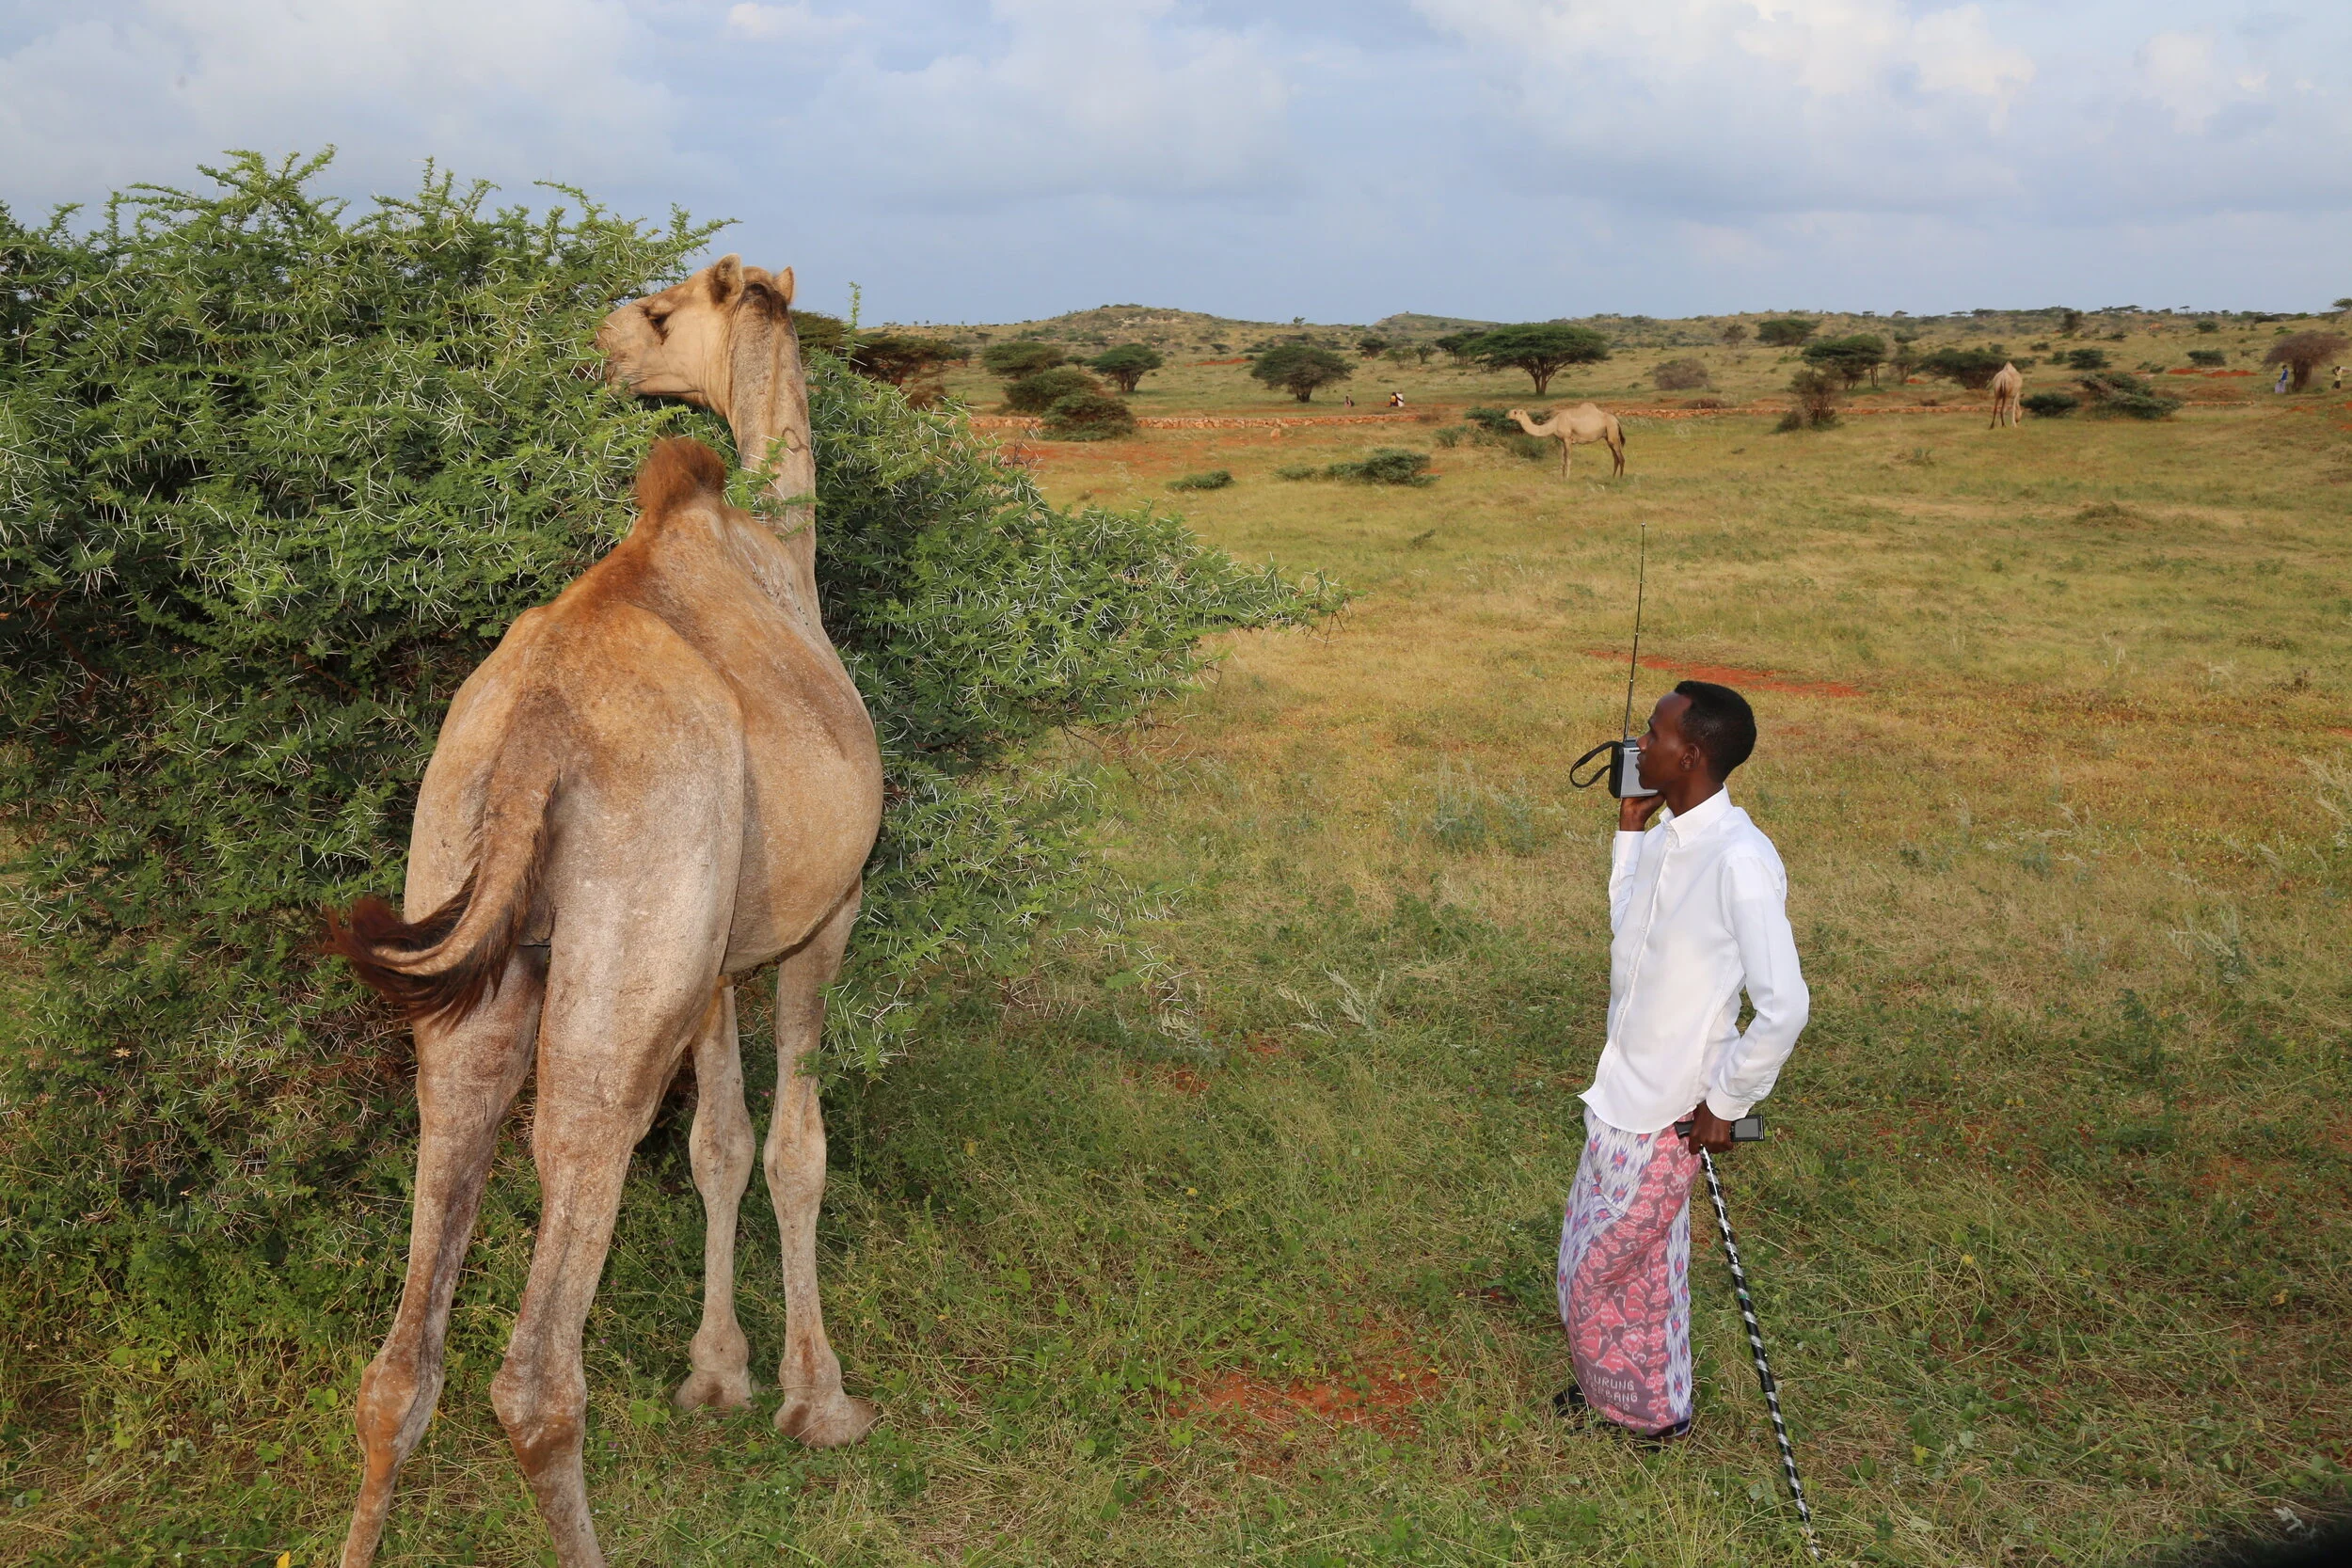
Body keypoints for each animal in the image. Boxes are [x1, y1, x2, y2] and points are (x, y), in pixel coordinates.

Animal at [332, 256, 884, 1568]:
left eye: (658, 312)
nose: (596, 347)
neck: (783, 551)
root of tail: (536, 733)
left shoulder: (713, 954)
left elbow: (718, 1140)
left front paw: (716, 1374)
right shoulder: (821, 918)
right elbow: (793, 1147)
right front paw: (815, 1395)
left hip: (477, 937)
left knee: (402, 1351)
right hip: (617, 972)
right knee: (537, 1366)